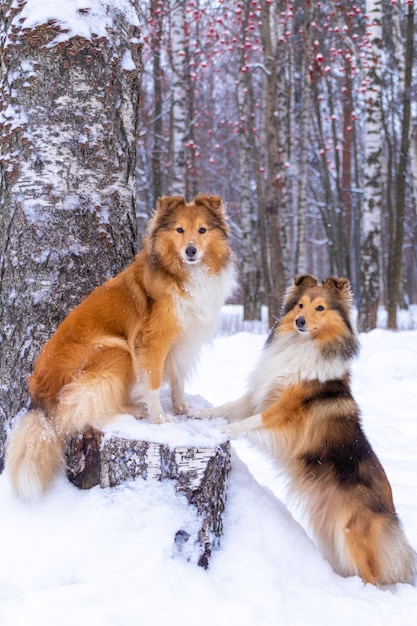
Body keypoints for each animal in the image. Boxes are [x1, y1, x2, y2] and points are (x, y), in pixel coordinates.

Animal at [6, 193, 236, 500]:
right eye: (179, 230)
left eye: (202, 230)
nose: (190, 251)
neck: (184, 273)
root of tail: (38, 396)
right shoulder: (152, 341)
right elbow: (153, 381)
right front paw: (160, 419)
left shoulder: (180, 342)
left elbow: (177, 379)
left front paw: (182, 409)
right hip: (116, 350)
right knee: (87, 407)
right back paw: (133, 411)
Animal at [201, 274, 412, 584]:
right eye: (300, 305)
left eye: (320, 308)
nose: (300, 321)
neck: (302, 346)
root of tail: (393, 512)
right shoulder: (257, 398)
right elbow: (227, 407)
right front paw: (195, 412)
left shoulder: (283, 412)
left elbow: (249, 422)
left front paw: (220, 432)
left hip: (352, 534)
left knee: (373, 576)